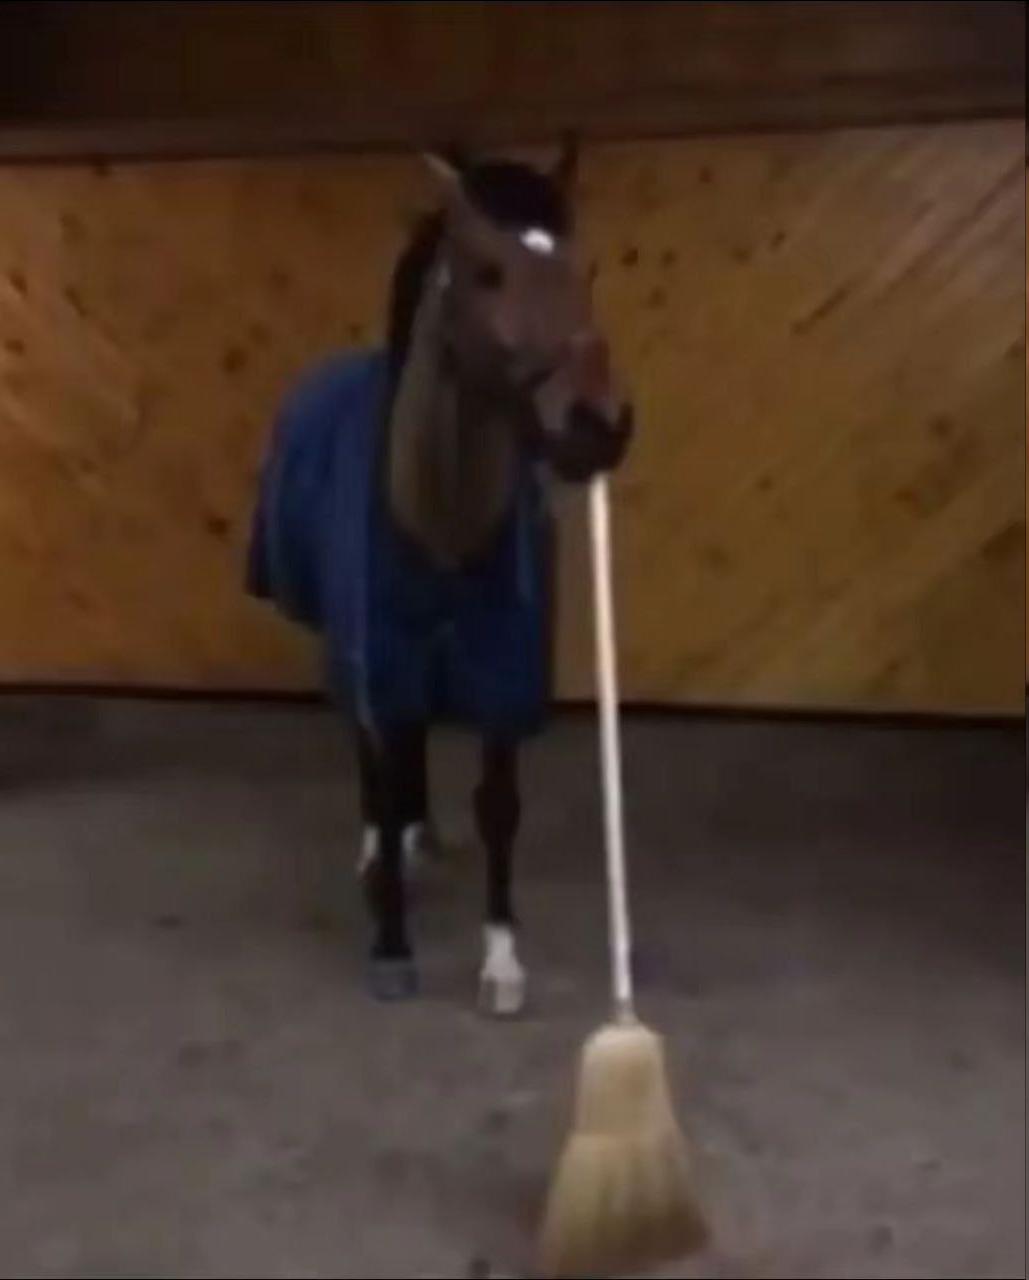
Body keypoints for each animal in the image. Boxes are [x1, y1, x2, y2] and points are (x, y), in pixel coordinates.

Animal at [247, 145, 633, 1015]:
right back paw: (378, 852)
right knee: (370, 757)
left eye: (587, 268)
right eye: (487, 271)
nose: (596, 428)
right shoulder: (382, 657)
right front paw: (391, 946)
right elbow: (385, 772)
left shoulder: (500, 674)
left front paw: (501, 960)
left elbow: (498, 808)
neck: (439, 520)